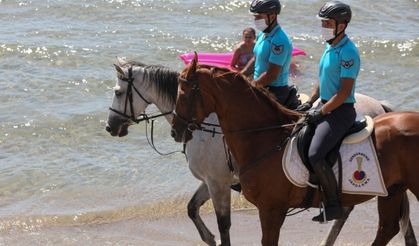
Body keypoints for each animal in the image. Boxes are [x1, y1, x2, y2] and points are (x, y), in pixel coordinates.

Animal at [171, 54, 419, 246]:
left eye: (183, 93)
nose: (175, 131)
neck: (263, 137)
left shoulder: (269, 208)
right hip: (392, 189)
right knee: (387, 229)